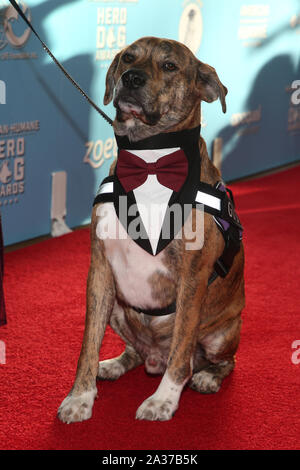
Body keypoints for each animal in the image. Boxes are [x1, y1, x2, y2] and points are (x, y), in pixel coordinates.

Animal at [57, 36, 245, 422]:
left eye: (170, 66)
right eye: (129, 57)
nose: (131, 78)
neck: (150, 160)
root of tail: (152, 360)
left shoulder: (193, 278)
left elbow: (182, 347)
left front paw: (164, 400)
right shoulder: (99, 269)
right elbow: (87, 344)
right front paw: (80, 396)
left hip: (223, 334)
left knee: (221, 360)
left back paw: (207, 377)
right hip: (116, 308)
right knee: (134, 351)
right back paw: (115, 364)